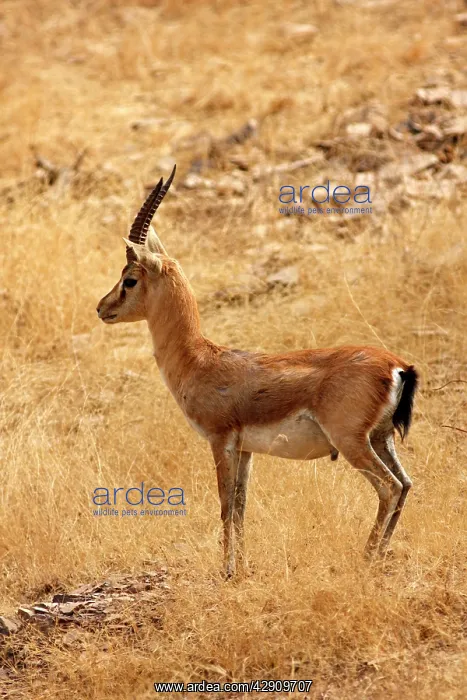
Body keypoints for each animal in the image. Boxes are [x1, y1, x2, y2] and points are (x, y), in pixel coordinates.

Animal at [97, 165, 418, 577]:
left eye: (130, 279)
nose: (102, 308)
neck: (200, 361)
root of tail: (397, 366)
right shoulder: (246, 450)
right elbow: (241, 506)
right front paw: (243, 568)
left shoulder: (220, 440)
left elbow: (224, 506)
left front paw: (227, 571)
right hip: (380, 438)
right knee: (405, 484)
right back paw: (379, 557)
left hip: (352, 442)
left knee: (389, 487)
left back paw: (366, 560)